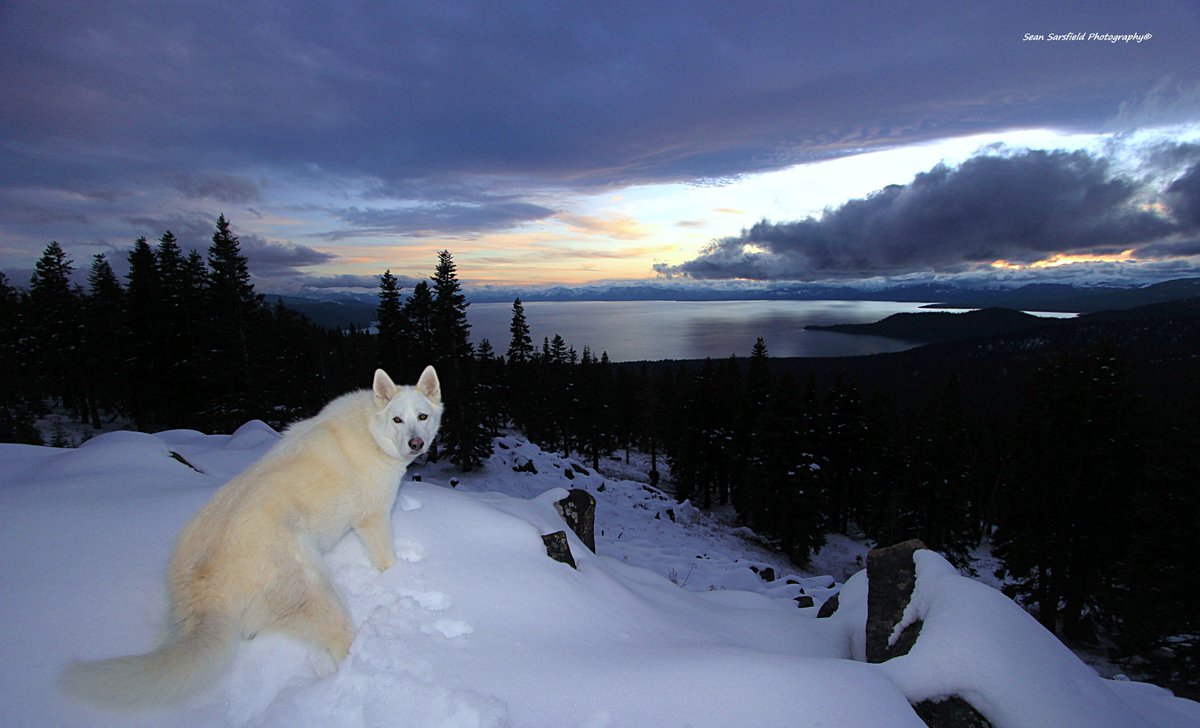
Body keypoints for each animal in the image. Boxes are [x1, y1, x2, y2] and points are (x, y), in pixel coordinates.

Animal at [61, 366, 443, 709]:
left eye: (422, 416)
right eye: (397, 420)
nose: (416, 444)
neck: (371, 431)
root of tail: (203, 587)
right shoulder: (373, 518)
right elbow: (387, 560)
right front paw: (399, 577)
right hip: (315, 591)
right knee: (341, 644)